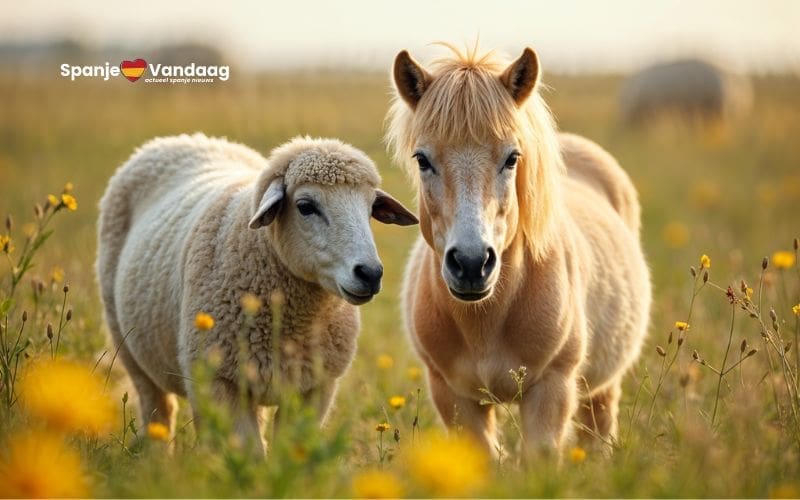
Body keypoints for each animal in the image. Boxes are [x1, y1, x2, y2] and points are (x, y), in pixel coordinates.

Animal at [386, 44, 651, 458]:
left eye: (512, 158)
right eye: (422, 159)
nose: (472, 264)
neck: (486, 321)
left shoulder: (551, 390)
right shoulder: (453, 397)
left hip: (602, 389)